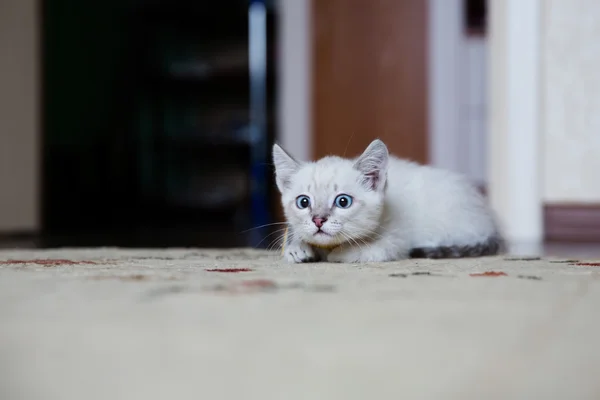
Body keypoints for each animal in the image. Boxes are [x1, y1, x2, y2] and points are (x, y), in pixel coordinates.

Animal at [274, 139, 504, 264]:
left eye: (343, 202)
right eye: (303, 202)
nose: (318, 220)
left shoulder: (397, 240)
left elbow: (370, 250)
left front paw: (341, 252)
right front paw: (298, 247)